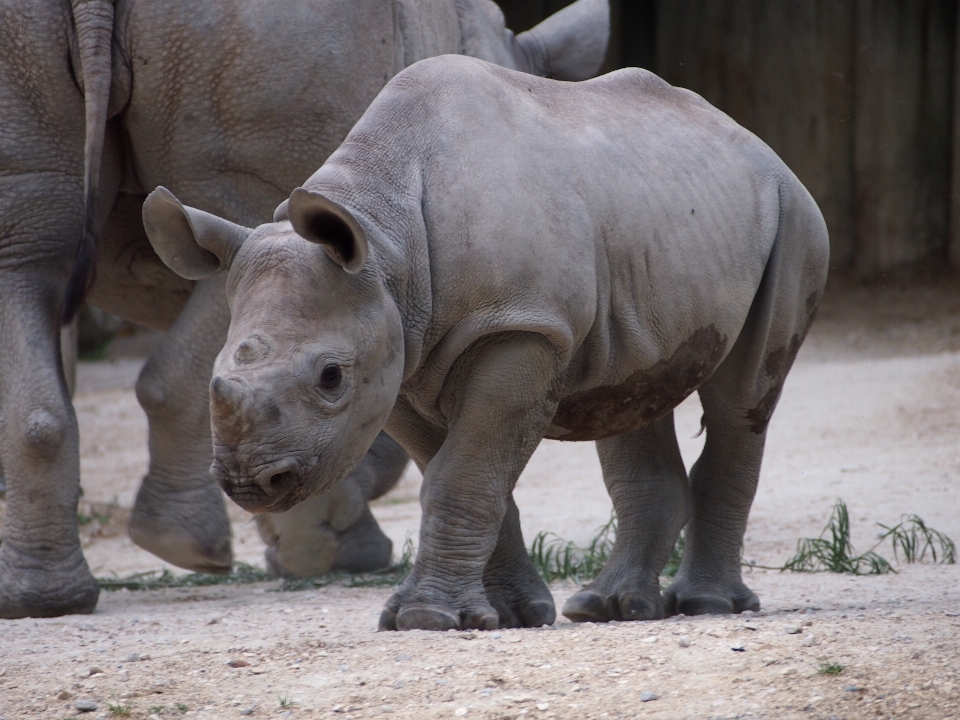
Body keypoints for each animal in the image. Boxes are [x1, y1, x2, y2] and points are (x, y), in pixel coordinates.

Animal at [0, 0, 608, 620]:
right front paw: (325, 549)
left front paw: (307, 545)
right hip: (270, 49)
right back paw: (188, 551)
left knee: (28, 253)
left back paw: (49, 599)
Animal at [144, 56, 832, 632]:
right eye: (219, 369)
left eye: (330, 377)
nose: (249, 481)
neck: (386, 237)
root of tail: (755, 142)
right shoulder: (399, 353)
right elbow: (462, 473)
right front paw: (507, 615)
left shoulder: (522, 325)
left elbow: (462, 475)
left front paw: (426, 619)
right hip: (659, 225)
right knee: (632, 392)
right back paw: (608, 608)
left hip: (793, 215)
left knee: (740, 400)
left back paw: (706, 606)